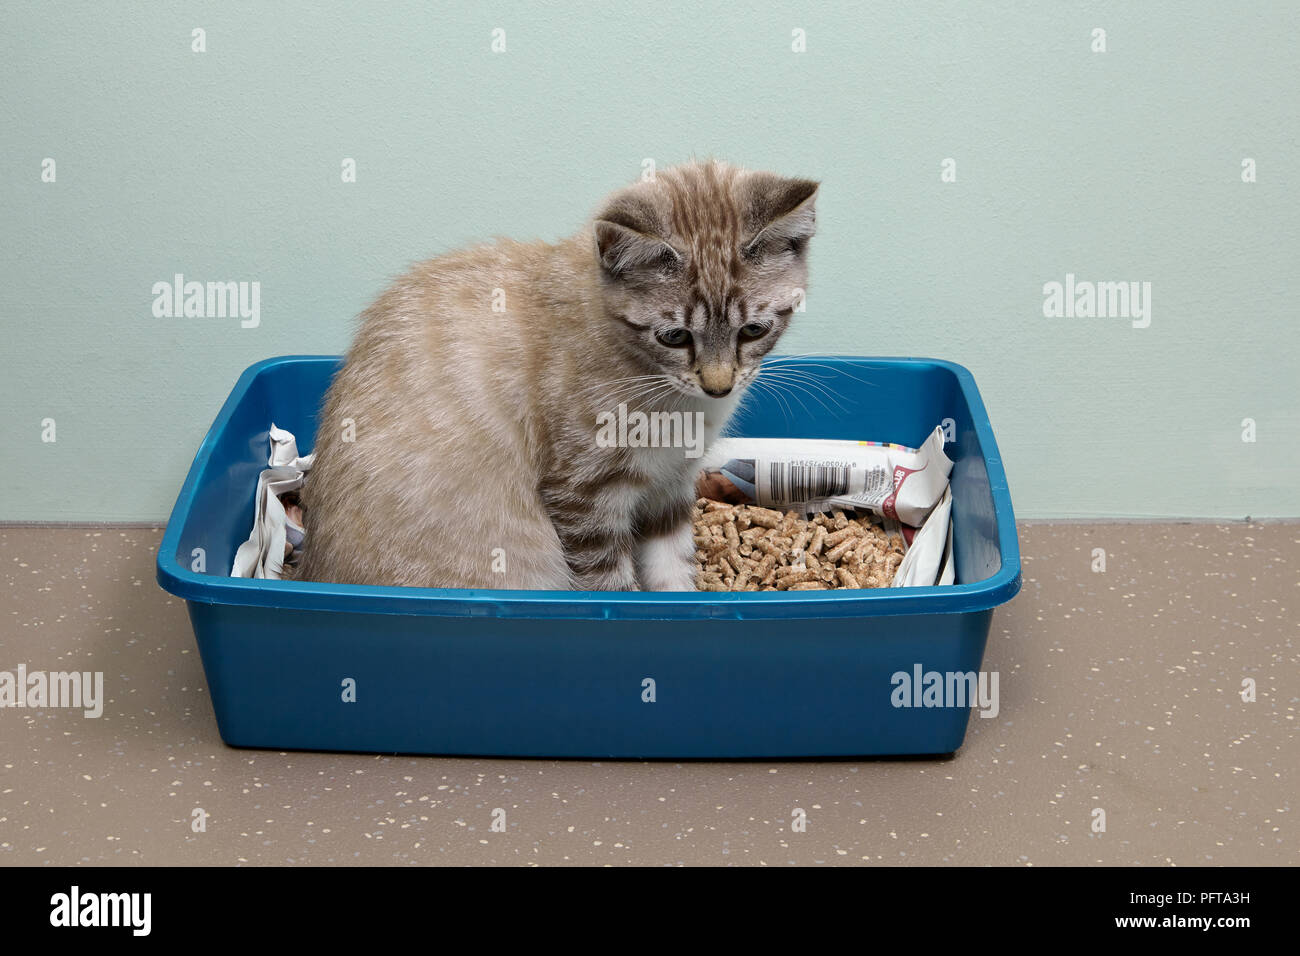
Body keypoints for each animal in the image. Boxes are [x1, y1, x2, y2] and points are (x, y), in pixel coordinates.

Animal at [299, 159, 816, 590]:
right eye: (674, 337)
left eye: (753, 330)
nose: (719, 385)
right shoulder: (582, 497)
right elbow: (611, 585)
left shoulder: (671, 488)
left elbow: (672, 570)